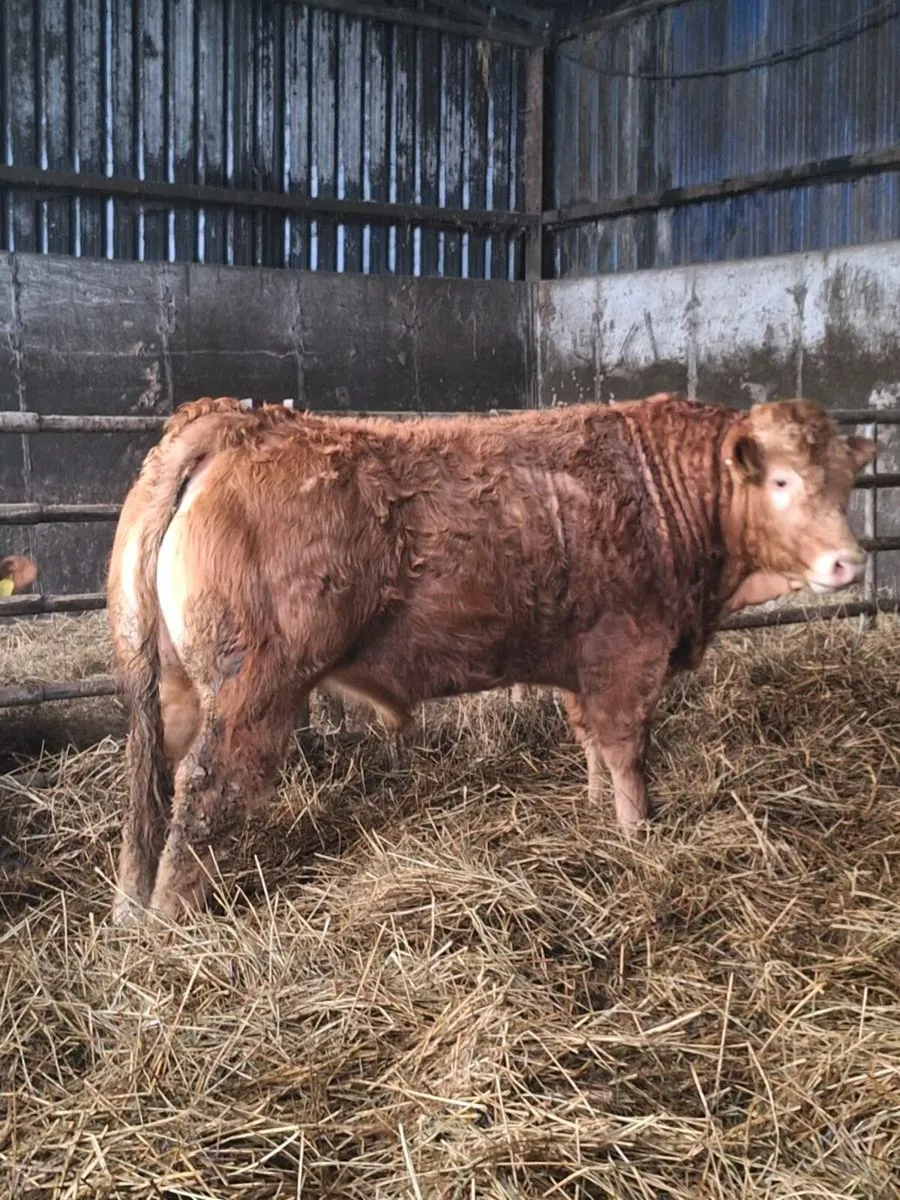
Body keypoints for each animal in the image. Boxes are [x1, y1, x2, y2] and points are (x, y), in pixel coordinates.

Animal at [107, 393, 874, 922]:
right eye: (781, 482)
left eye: (845, 484)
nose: (849, 563)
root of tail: (239, 424)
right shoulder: (628, 650)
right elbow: (626, 750)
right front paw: (637, 835)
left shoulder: (579, 658)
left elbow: (589, 740)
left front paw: (592, 808)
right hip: (253, 687)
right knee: (206, 787)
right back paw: (171, 922)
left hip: (170, 685)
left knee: (149, 779)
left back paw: (130, 907)